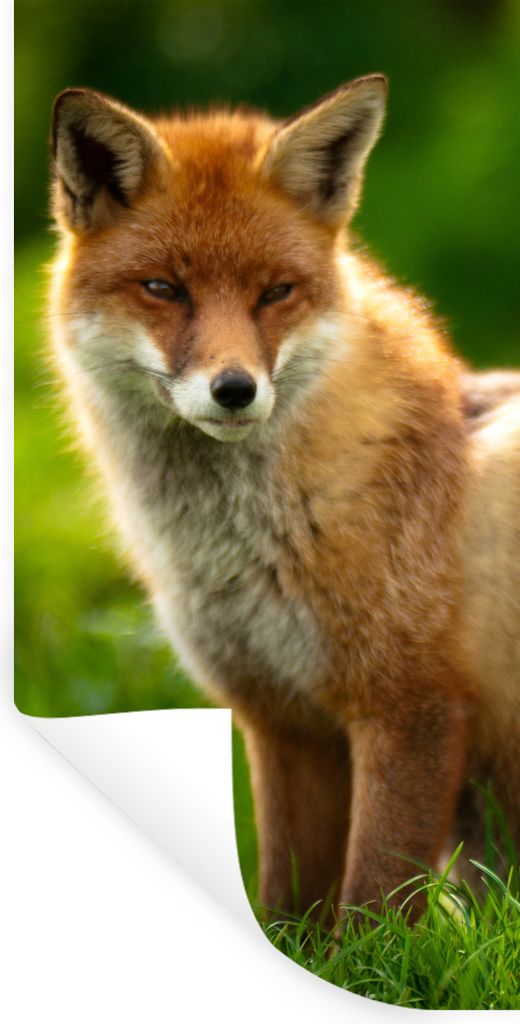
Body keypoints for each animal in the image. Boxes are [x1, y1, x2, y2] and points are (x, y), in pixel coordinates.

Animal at [48, 75, 520, 921]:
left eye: (276, 293)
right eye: (164, 289)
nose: (235, 390)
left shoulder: (413, 708)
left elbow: (373, 902)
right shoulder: (278, 719)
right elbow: (284, 900)